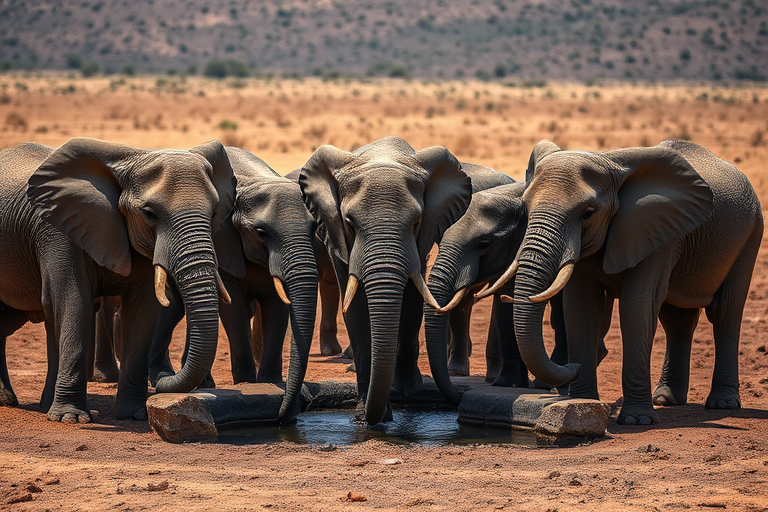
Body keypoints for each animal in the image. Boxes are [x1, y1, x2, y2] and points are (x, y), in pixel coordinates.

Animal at [0, 137, 236, 422]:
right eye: (149, 213)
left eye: (214, 214)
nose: (161, 381)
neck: (130, 159)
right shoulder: (57, 230)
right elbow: (73, 301)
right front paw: (72, 418)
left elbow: (142, 311)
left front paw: (135, 415)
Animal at [148, 147, 318, 422]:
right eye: (261, 233)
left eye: (314, 229)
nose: (284, 416)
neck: (253, 182)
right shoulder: (222, 244)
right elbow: (233, 308)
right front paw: (248, 384)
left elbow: (277, 306)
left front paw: (271, 382)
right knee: (174, 305)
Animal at [299, 136, 472, 425]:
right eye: (350, 223)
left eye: (416, 222)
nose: (373, 418)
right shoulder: (338, 236)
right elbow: (355, 307)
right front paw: (364, 415)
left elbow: (411, 298)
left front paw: (403, 394)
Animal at [485, 139, 763, 425]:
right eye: (526, 209)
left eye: (588, 213)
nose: (571, 365)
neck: (609, 162)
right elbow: (581, 308)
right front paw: (583, 402)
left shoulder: (656, 232)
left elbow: (636, 307)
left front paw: (636, 421)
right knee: (677, 320)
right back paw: (665, 399)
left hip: (751, 231)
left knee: (724, 312)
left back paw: (722, 403)